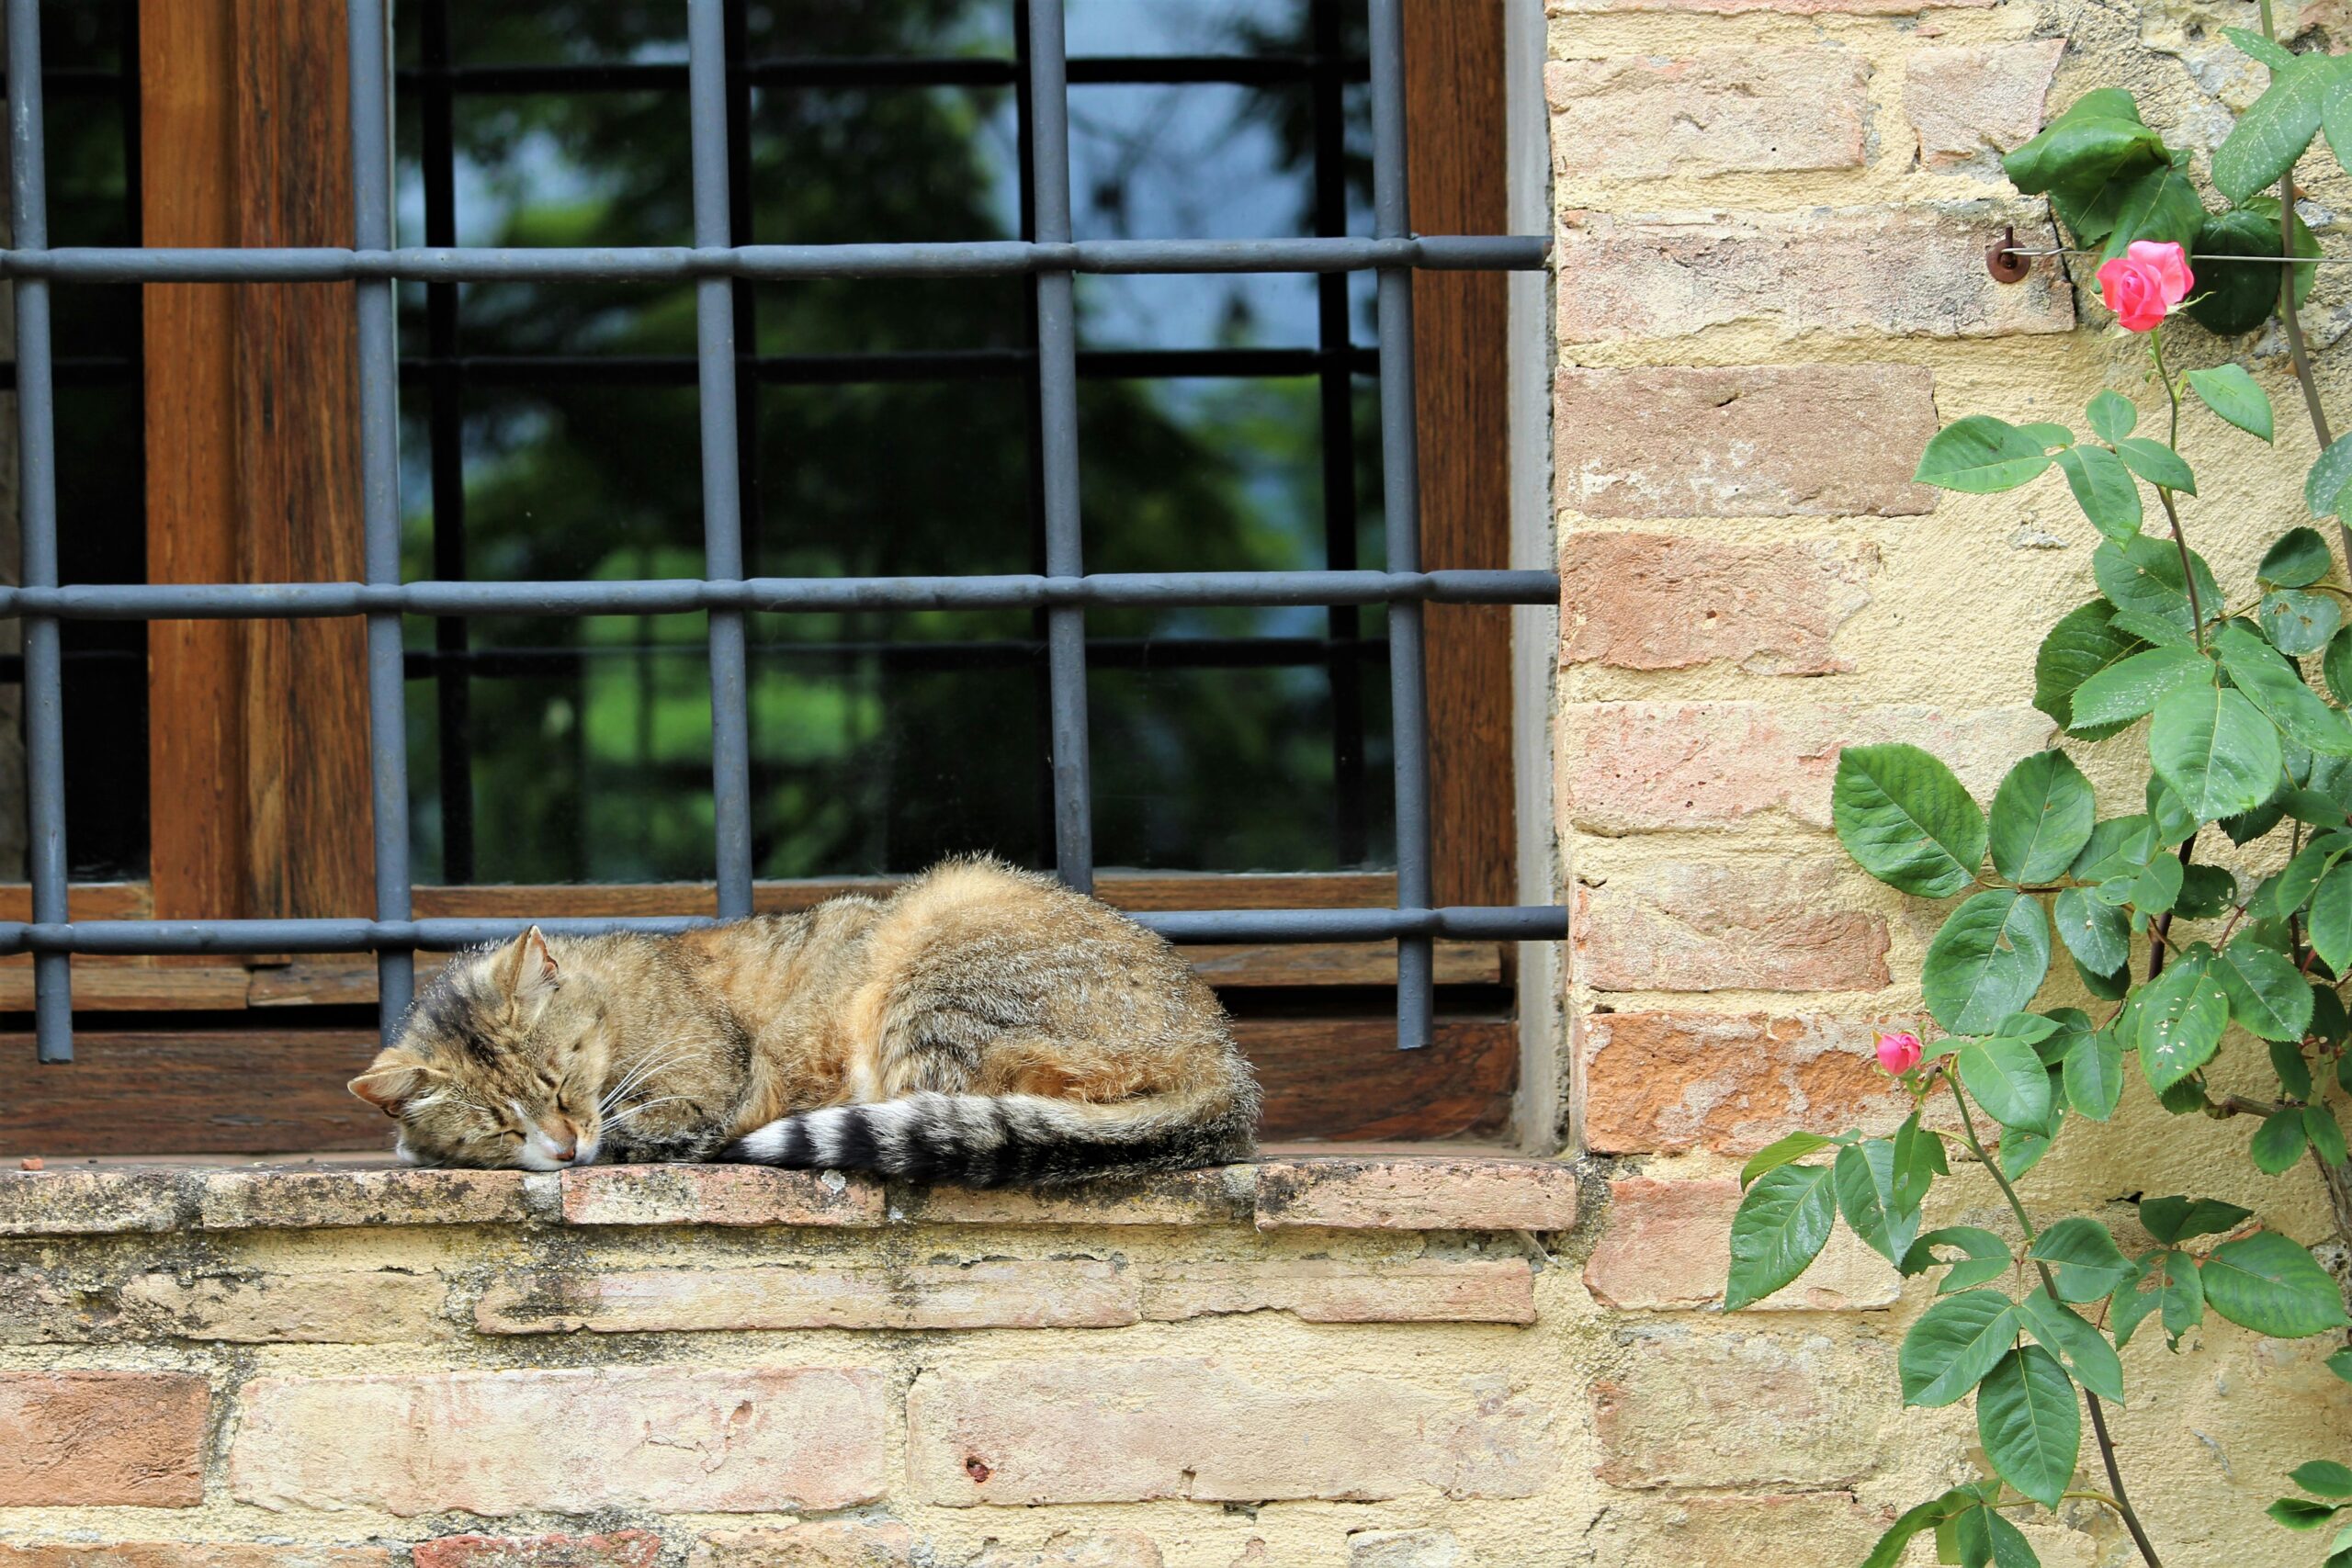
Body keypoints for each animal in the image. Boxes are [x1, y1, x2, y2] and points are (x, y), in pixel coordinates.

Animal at [343, 860, 1261, 1189]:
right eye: (498, 1125)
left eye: (561, 1081)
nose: (563, 1145)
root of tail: (1223, 1060)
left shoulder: (704, 1091)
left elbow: (651, 1130)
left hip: (938, 946)